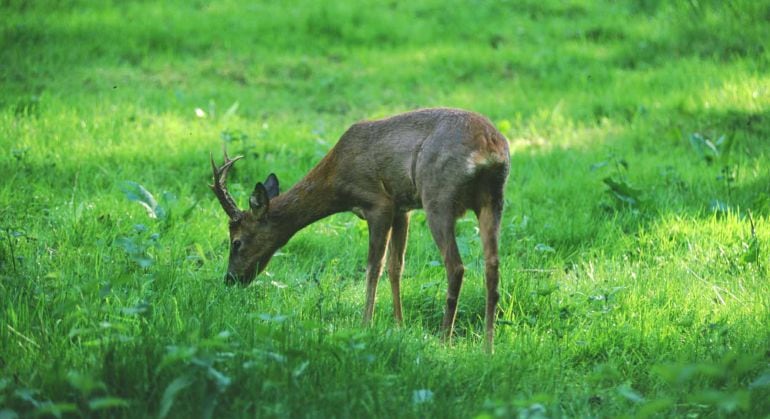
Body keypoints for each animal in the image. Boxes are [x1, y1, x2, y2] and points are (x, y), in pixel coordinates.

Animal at [210, 108, 510, 352]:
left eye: (236, 242)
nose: (230, 279)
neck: (336, 180)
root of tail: (489, 148)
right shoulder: (402, 208)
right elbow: (395, 267)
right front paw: (399, 326)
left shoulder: (379, 203)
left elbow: (373, 267)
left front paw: (365, 325)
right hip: (493, 199)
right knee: (492, 265)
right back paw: (488, 347)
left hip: (438, 197)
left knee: (456, 266)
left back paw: (444, 340)